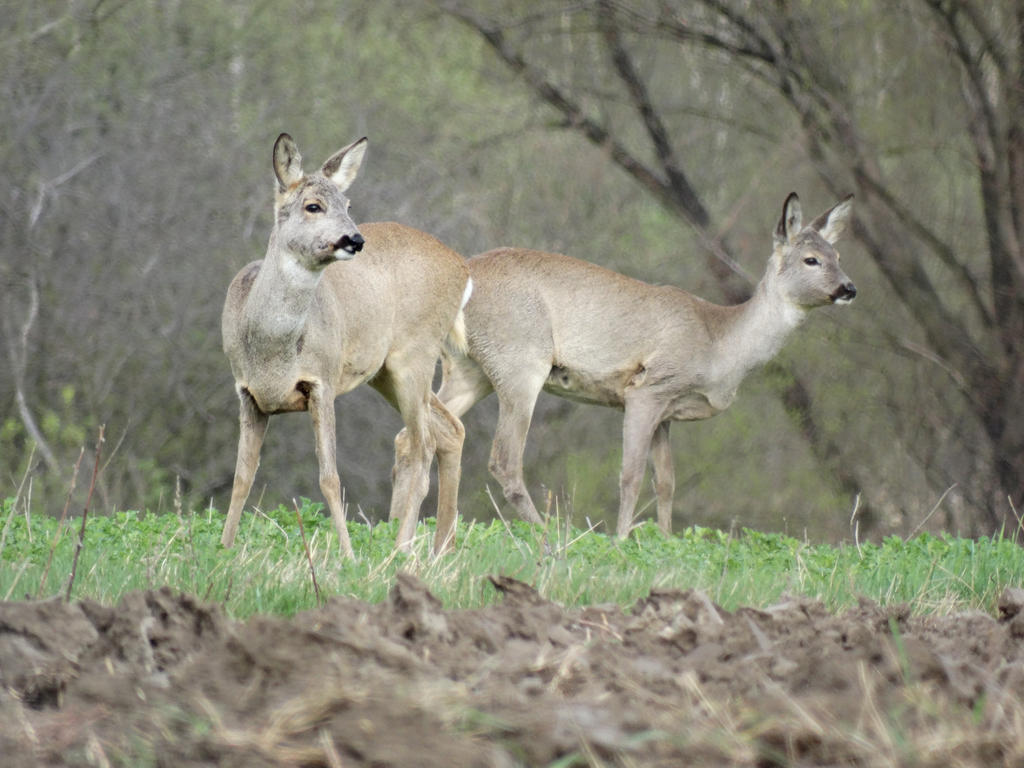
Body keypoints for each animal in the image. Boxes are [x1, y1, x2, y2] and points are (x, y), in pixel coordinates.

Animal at [222, 132, 468, 557]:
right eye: (313, 205)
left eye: (348, 205)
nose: (354, 239)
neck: (273, 351)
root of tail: (464, 268)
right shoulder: (247, 392)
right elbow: (242, 477)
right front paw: (223, 549)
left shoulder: (322, 381)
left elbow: (329, 477)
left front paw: (348, 555)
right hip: (385, 373)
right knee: (449, 430)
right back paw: (443, 551)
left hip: (415, 356)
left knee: (422, 447)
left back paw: (401, 550)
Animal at [440, 193, 856, 540]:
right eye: (811, 260)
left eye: (838, 256)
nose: (849, 288)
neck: (721, 342)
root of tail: (462, 273)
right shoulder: (647, 389)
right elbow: (631, 474)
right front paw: (622, 539)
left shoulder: (667, 412)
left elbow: (667, 481)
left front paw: (667, 540)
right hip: (520, 361)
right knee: (504, 461)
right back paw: (551, 534)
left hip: (469, 370)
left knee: (434, 429)